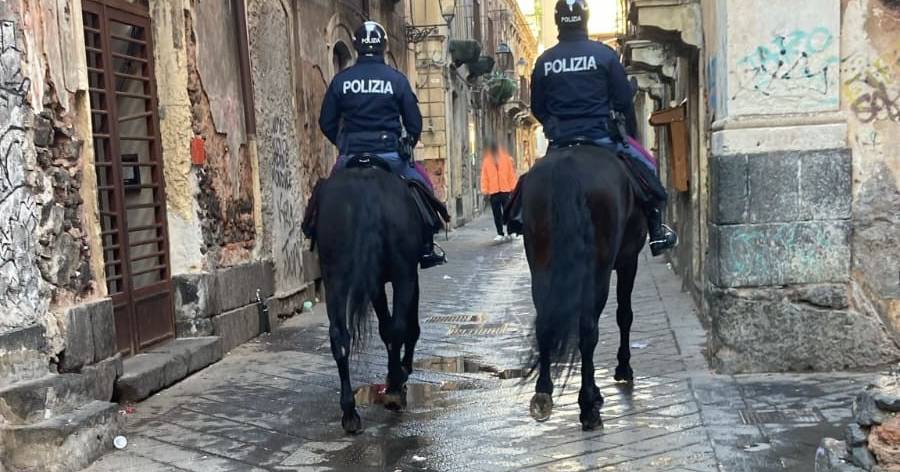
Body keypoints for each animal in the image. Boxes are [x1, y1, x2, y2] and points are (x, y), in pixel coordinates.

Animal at [304, 160, 428, 434]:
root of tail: (365, 189)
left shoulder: (375, 283)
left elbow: (385, 328)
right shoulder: (410, 275)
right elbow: (408, 327)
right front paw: (401, 372)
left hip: (335, 277)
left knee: (340, 336)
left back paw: (350, 413)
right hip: (403, 271)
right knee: (399, 327)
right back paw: (394, 391)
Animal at [520, 144, 648, 432]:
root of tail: (567, 167)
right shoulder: (629, 260)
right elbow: (625, 315)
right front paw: (623, 368)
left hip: (540, 262)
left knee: (544, 324)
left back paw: (543, 393)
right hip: (598, 270)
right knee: (589, 329)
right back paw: (589, 405)